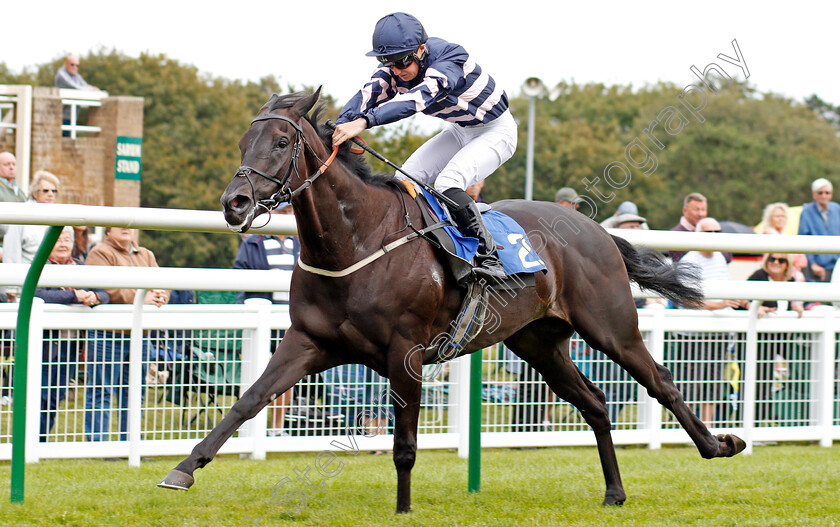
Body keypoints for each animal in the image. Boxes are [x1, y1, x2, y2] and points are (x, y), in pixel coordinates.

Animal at [161, 91, 744, 516]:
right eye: (245, 141)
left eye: (282, 141)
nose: (234, 203)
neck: (357, 241)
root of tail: (596, 230)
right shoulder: (308, 342)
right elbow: (247, 401)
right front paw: (183, 469)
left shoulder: (405, 352)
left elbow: (404, 443)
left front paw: (403, 510)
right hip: (538, 343)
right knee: (597, 402)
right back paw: (615, 492)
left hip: (611, 325)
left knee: (660, 381)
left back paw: (718, 446)